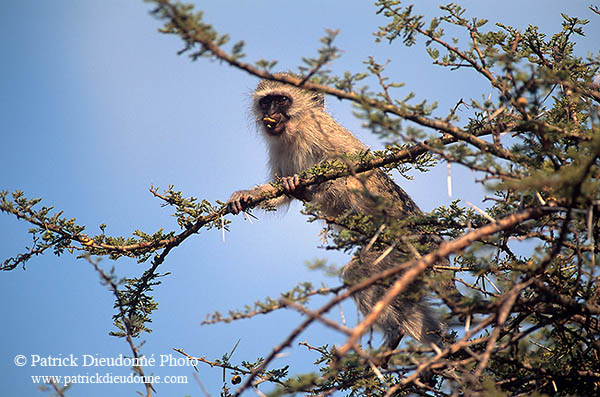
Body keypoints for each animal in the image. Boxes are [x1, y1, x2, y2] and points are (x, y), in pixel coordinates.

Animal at [230, 76, 450, 354]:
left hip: (398, 251)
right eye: (265, 102)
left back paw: (396, 333)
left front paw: (300, 184)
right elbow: (279, 193)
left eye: (281, 100)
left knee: (358, 270)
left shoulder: (320, 130)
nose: (270, 114)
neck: (295, 130)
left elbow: (353, 172)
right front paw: (247, 194)